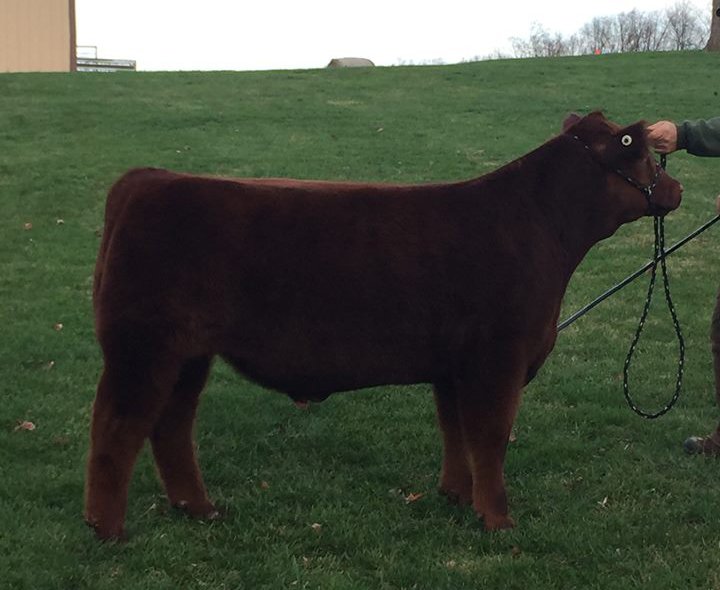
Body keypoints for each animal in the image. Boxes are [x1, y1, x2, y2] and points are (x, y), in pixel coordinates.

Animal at [84, 112, 683, 540]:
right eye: (642, 154)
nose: (677, 190)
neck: (541, 228)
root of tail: (148, 179)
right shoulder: (498, 357)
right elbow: (490, 436)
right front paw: (498, 521)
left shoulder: (454, 365)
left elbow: (455, 431)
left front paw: (455, 497)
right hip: (143, 346)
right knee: (118, 426)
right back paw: (108, 530)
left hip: (188, 354)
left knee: (171, 424)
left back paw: (199, 509)